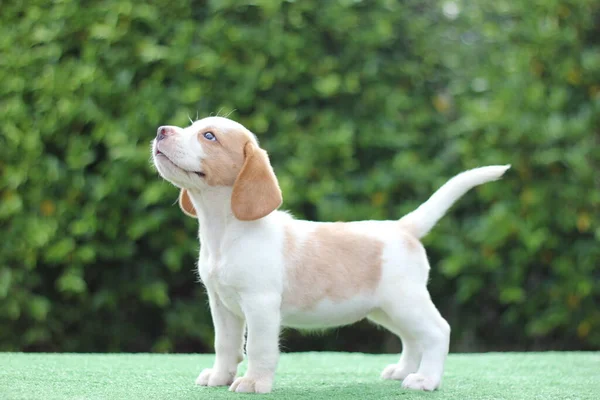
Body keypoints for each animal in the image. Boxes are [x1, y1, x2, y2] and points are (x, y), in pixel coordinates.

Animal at [151, 116, 510, 394]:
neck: (223, 232)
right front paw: (219, 377)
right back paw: (403, 370)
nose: (160, 130)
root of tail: (402, 227)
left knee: (437, 332)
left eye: (209, 136)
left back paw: (425, 380)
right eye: (191, 126)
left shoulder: (260, 304)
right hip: (385, 309)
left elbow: (258, 348)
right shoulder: (222, 305)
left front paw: (254, 383)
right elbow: (225, 345)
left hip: (405, 301)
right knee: (412, 338)